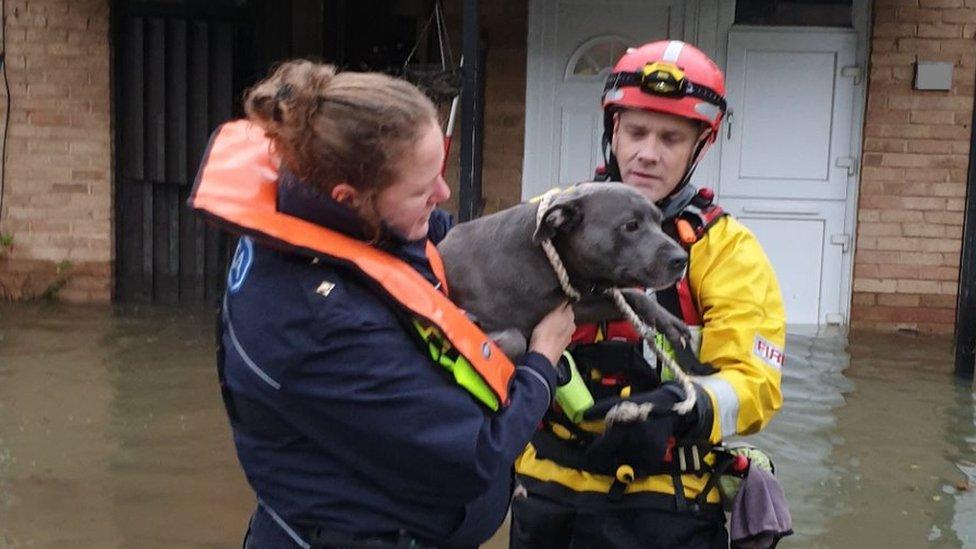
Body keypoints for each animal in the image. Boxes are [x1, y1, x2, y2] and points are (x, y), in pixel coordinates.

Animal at [434, 182, 692, 358]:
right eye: (631, 225)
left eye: (659, 221)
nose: (682, 259)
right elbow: (513, 339)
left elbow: (630, 296)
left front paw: (667, 320)